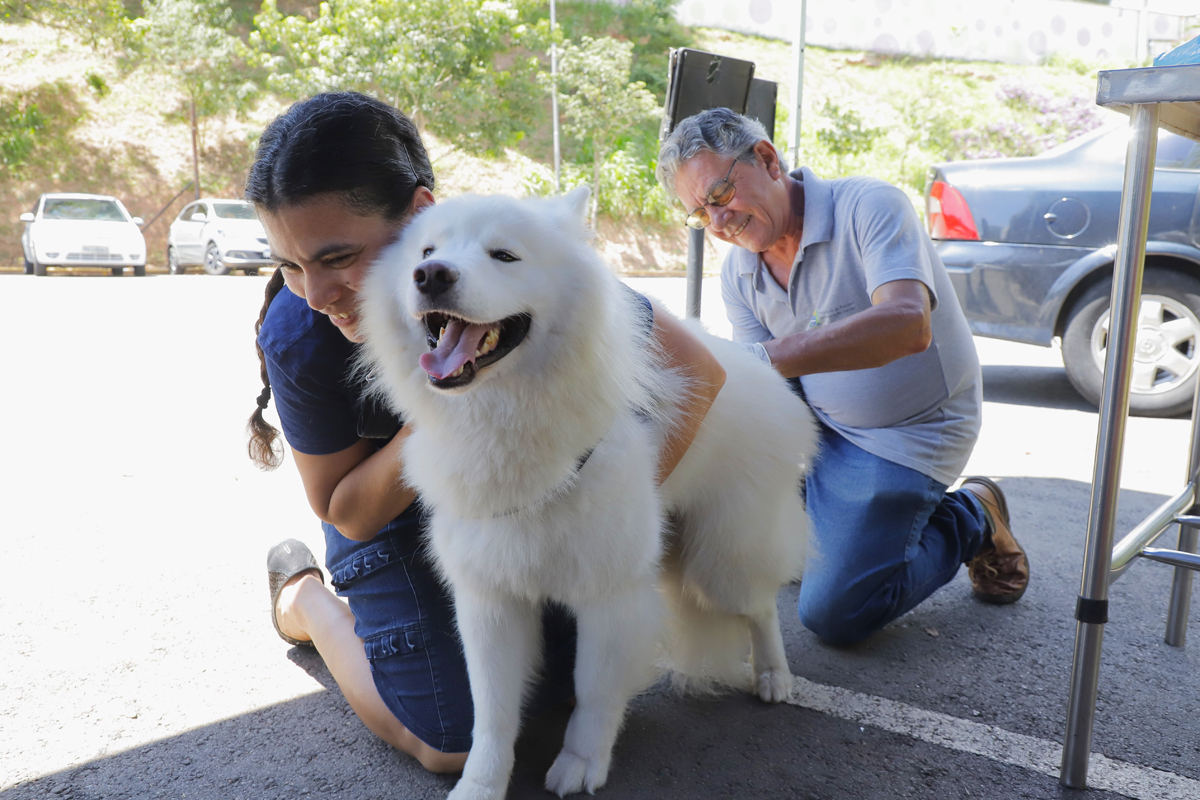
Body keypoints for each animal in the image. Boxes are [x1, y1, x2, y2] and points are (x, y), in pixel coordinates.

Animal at [355, 189, 820, 800]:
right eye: (428, 251)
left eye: (504, 255)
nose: (430, 275)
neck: (503, 422)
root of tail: (767, 371)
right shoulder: (490, 599)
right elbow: (492, 712)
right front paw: (481, 784)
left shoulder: (609, 594)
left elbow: (595, 692)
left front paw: (581, 764)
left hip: (720, 564)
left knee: (762, 607)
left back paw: (773, 675)